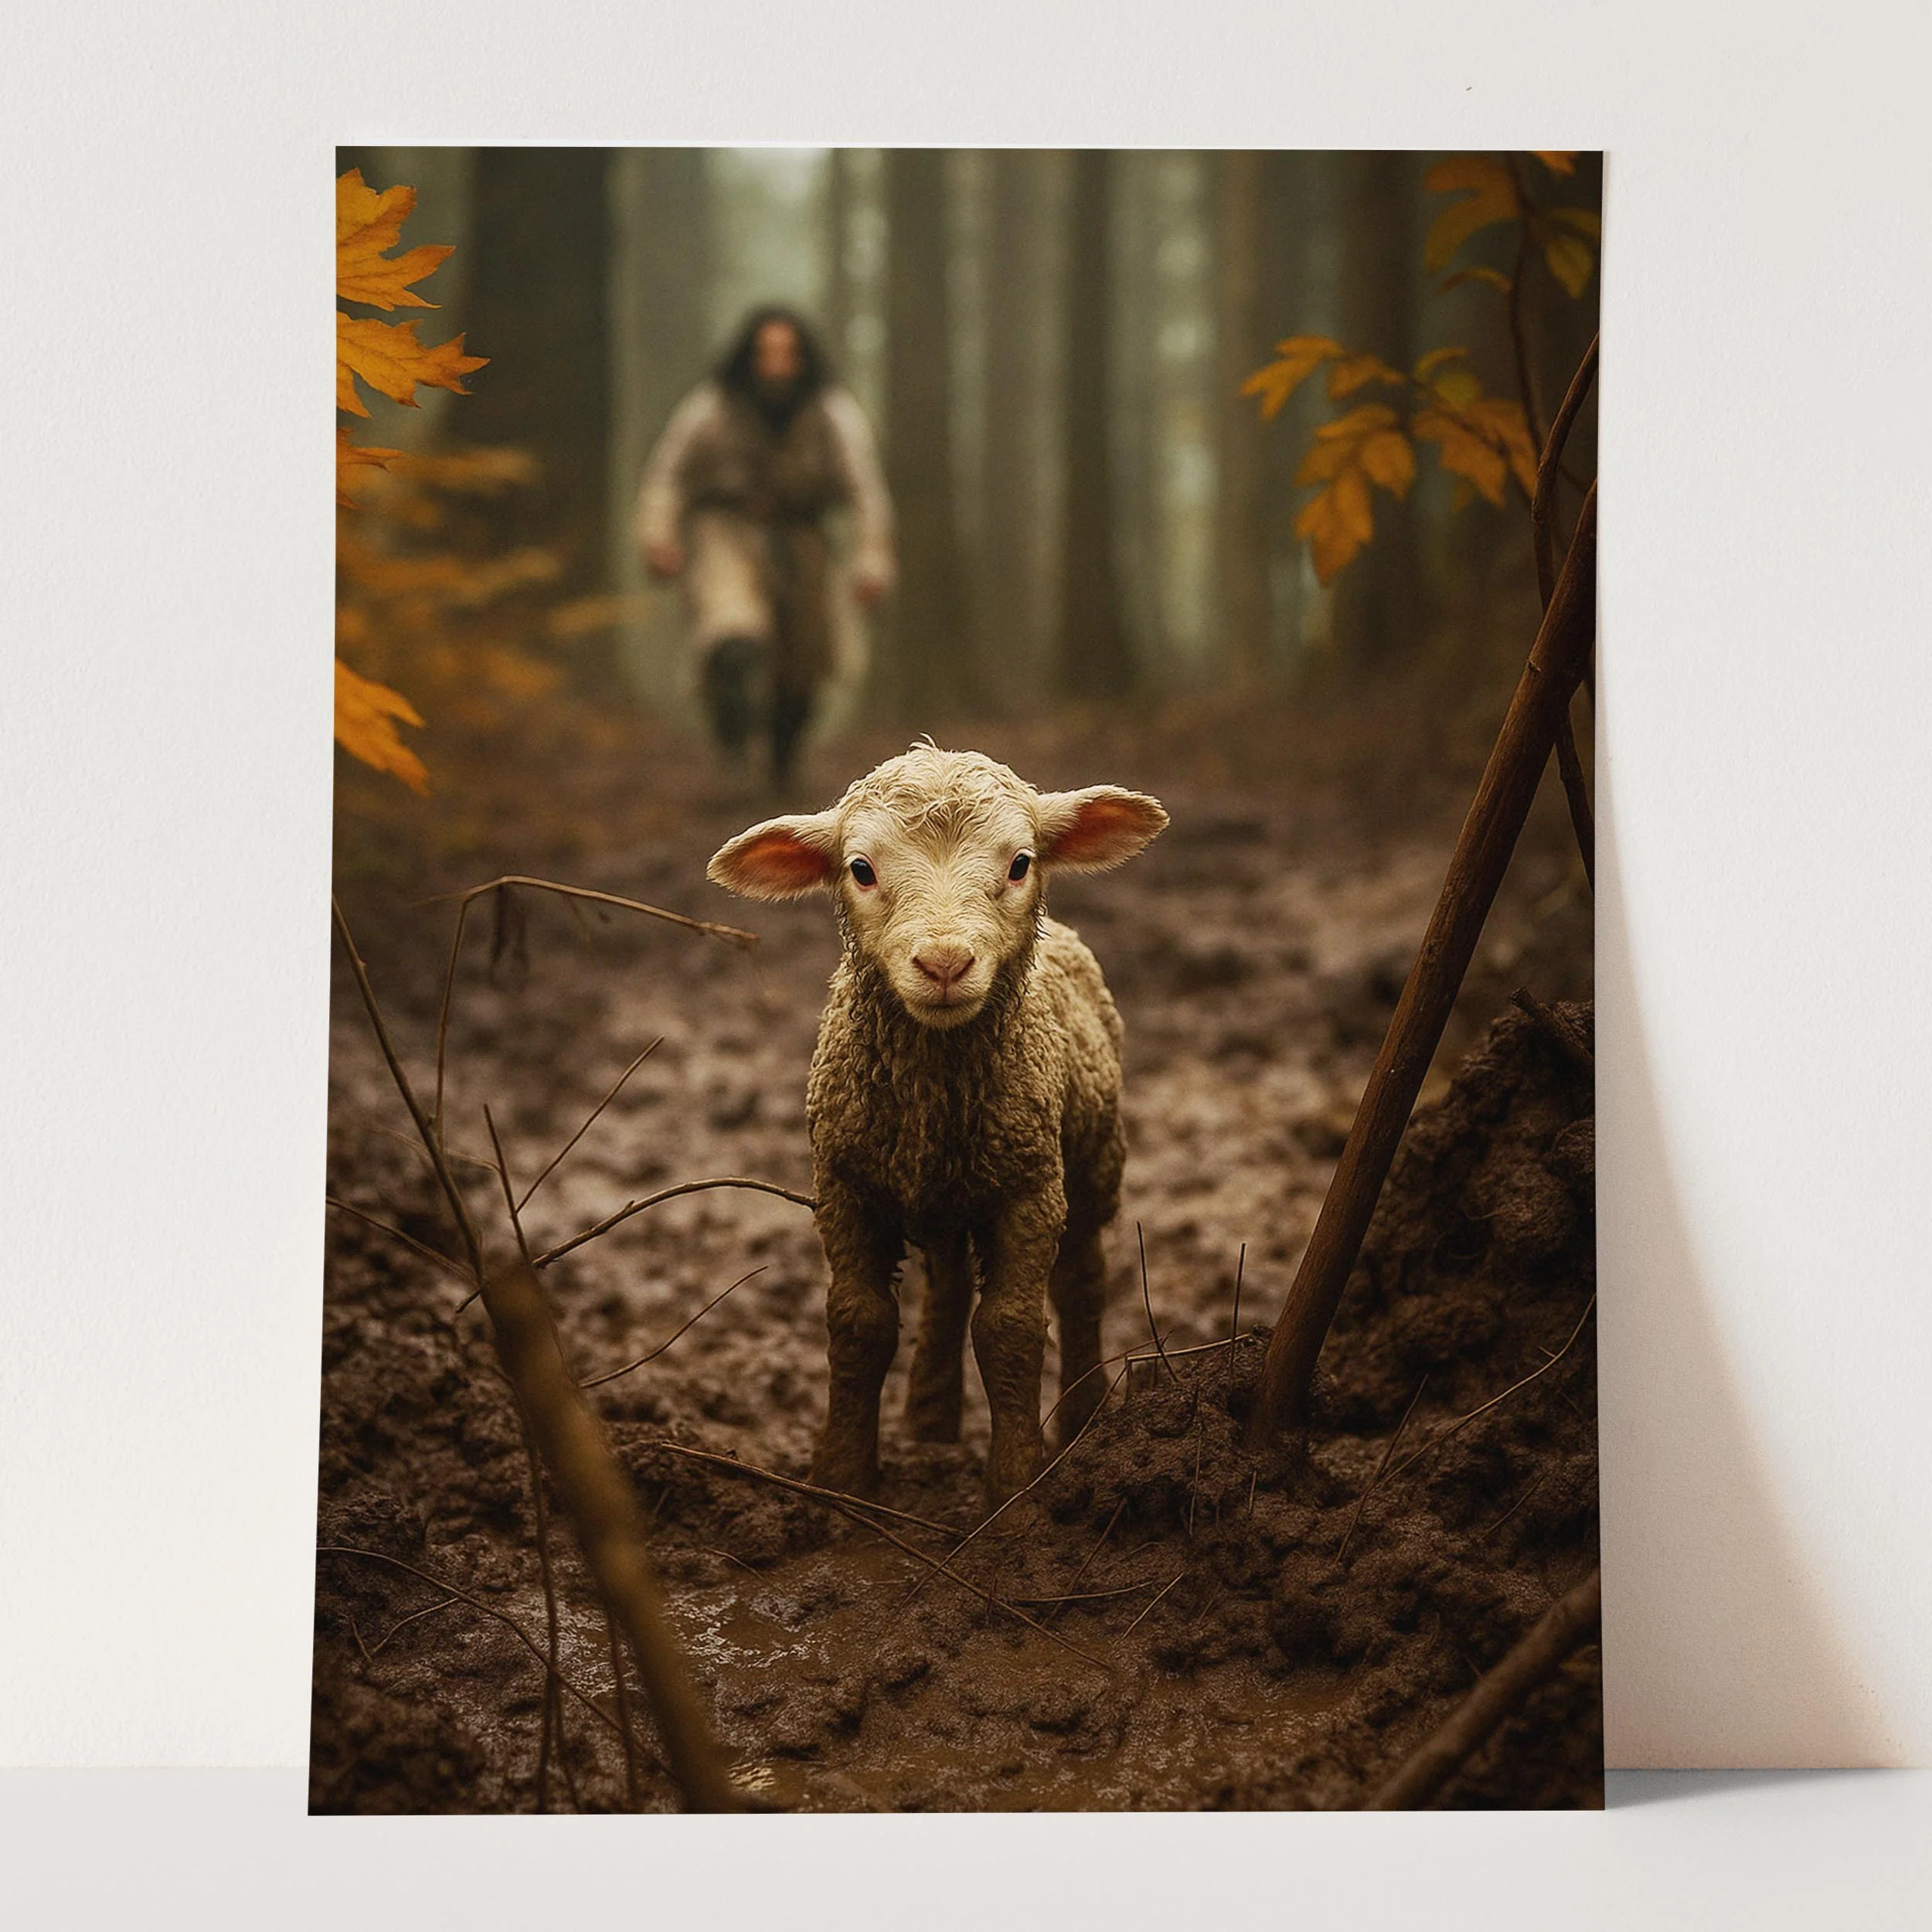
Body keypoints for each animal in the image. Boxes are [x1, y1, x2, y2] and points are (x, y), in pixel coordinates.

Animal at [708, 744, 1167, 1507]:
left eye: (1019, 863)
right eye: (861, 869)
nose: (945, 963)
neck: (931, 1093)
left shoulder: (1031, 1188)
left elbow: (1011, 1327)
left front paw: (1015, 1487)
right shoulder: (844, 1186)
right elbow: (859, 1323)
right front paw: (842, 1481)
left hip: (1091, 1161)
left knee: (1082, 1281)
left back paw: (1080, 1418)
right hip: (947, 1193)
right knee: (949, 1283)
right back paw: (929, 1420)